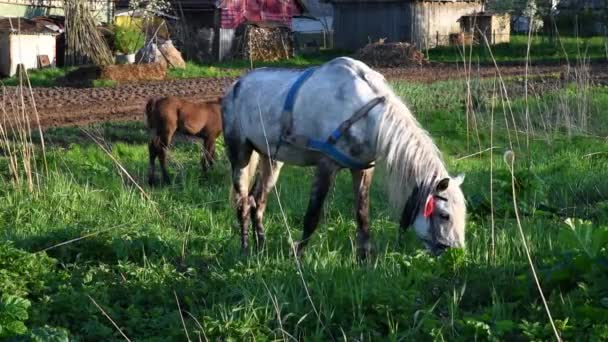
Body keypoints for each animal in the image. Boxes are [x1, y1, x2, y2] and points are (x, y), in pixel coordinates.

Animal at [222, 57, 466, 258]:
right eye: (444, 215)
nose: (454, 252)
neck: (364, 114)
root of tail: (234, 86)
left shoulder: (362, 168)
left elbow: (363, 216)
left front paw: (364, 260)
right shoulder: (325, 166)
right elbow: (312, 216)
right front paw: (297, 256)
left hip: (271, 160)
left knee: (258, 202)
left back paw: (261, 246)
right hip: (240, 156)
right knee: (243, 204)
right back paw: (245, 249)